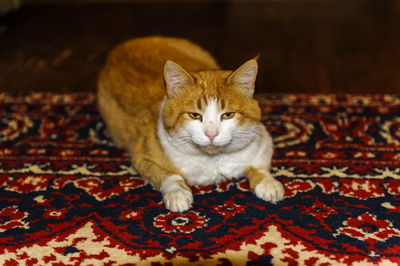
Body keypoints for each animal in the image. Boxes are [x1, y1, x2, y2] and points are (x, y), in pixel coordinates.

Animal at [97, 36, 284, 213]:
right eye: (194, 115)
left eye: (227, 115)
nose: (211, 134)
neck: (212, 161)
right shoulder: (141, 156)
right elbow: (169, 175)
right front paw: (177, 193)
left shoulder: (263, 142)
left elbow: (259, 167)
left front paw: (268, 183)